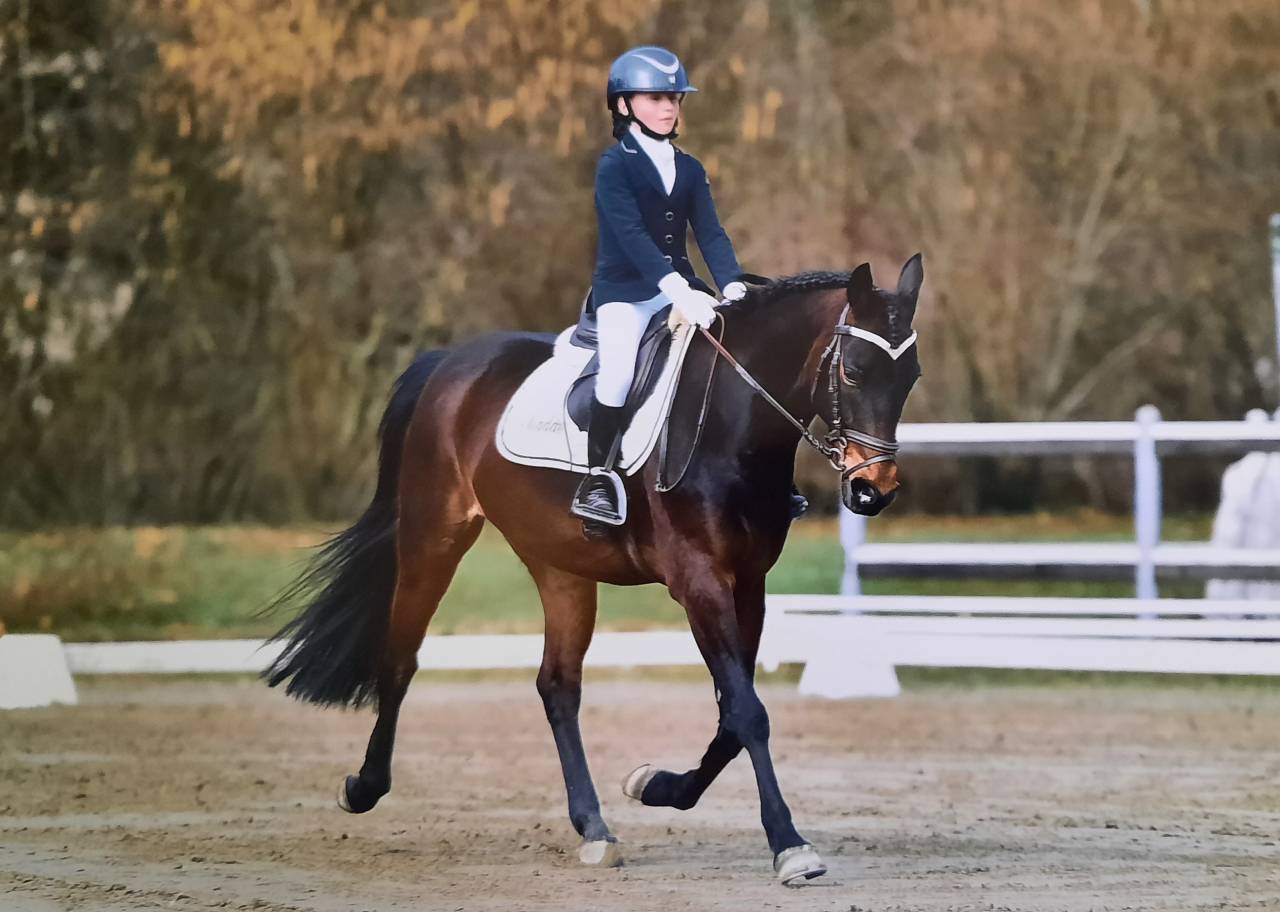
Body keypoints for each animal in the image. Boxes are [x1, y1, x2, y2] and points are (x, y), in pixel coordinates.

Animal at [265, 255, 924, 884]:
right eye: (854, 371)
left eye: (910, 376)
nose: (874, 490)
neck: (732, 424)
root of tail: (452, 360)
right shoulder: (699, 581)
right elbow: (747, 713)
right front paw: (789, 845)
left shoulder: (749, 584)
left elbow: (732, 717)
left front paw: (657, 786)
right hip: (435, 537)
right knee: (401, 656)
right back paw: (363, 787)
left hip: (561, 567)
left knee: (557, 685)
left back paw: (594, 828)